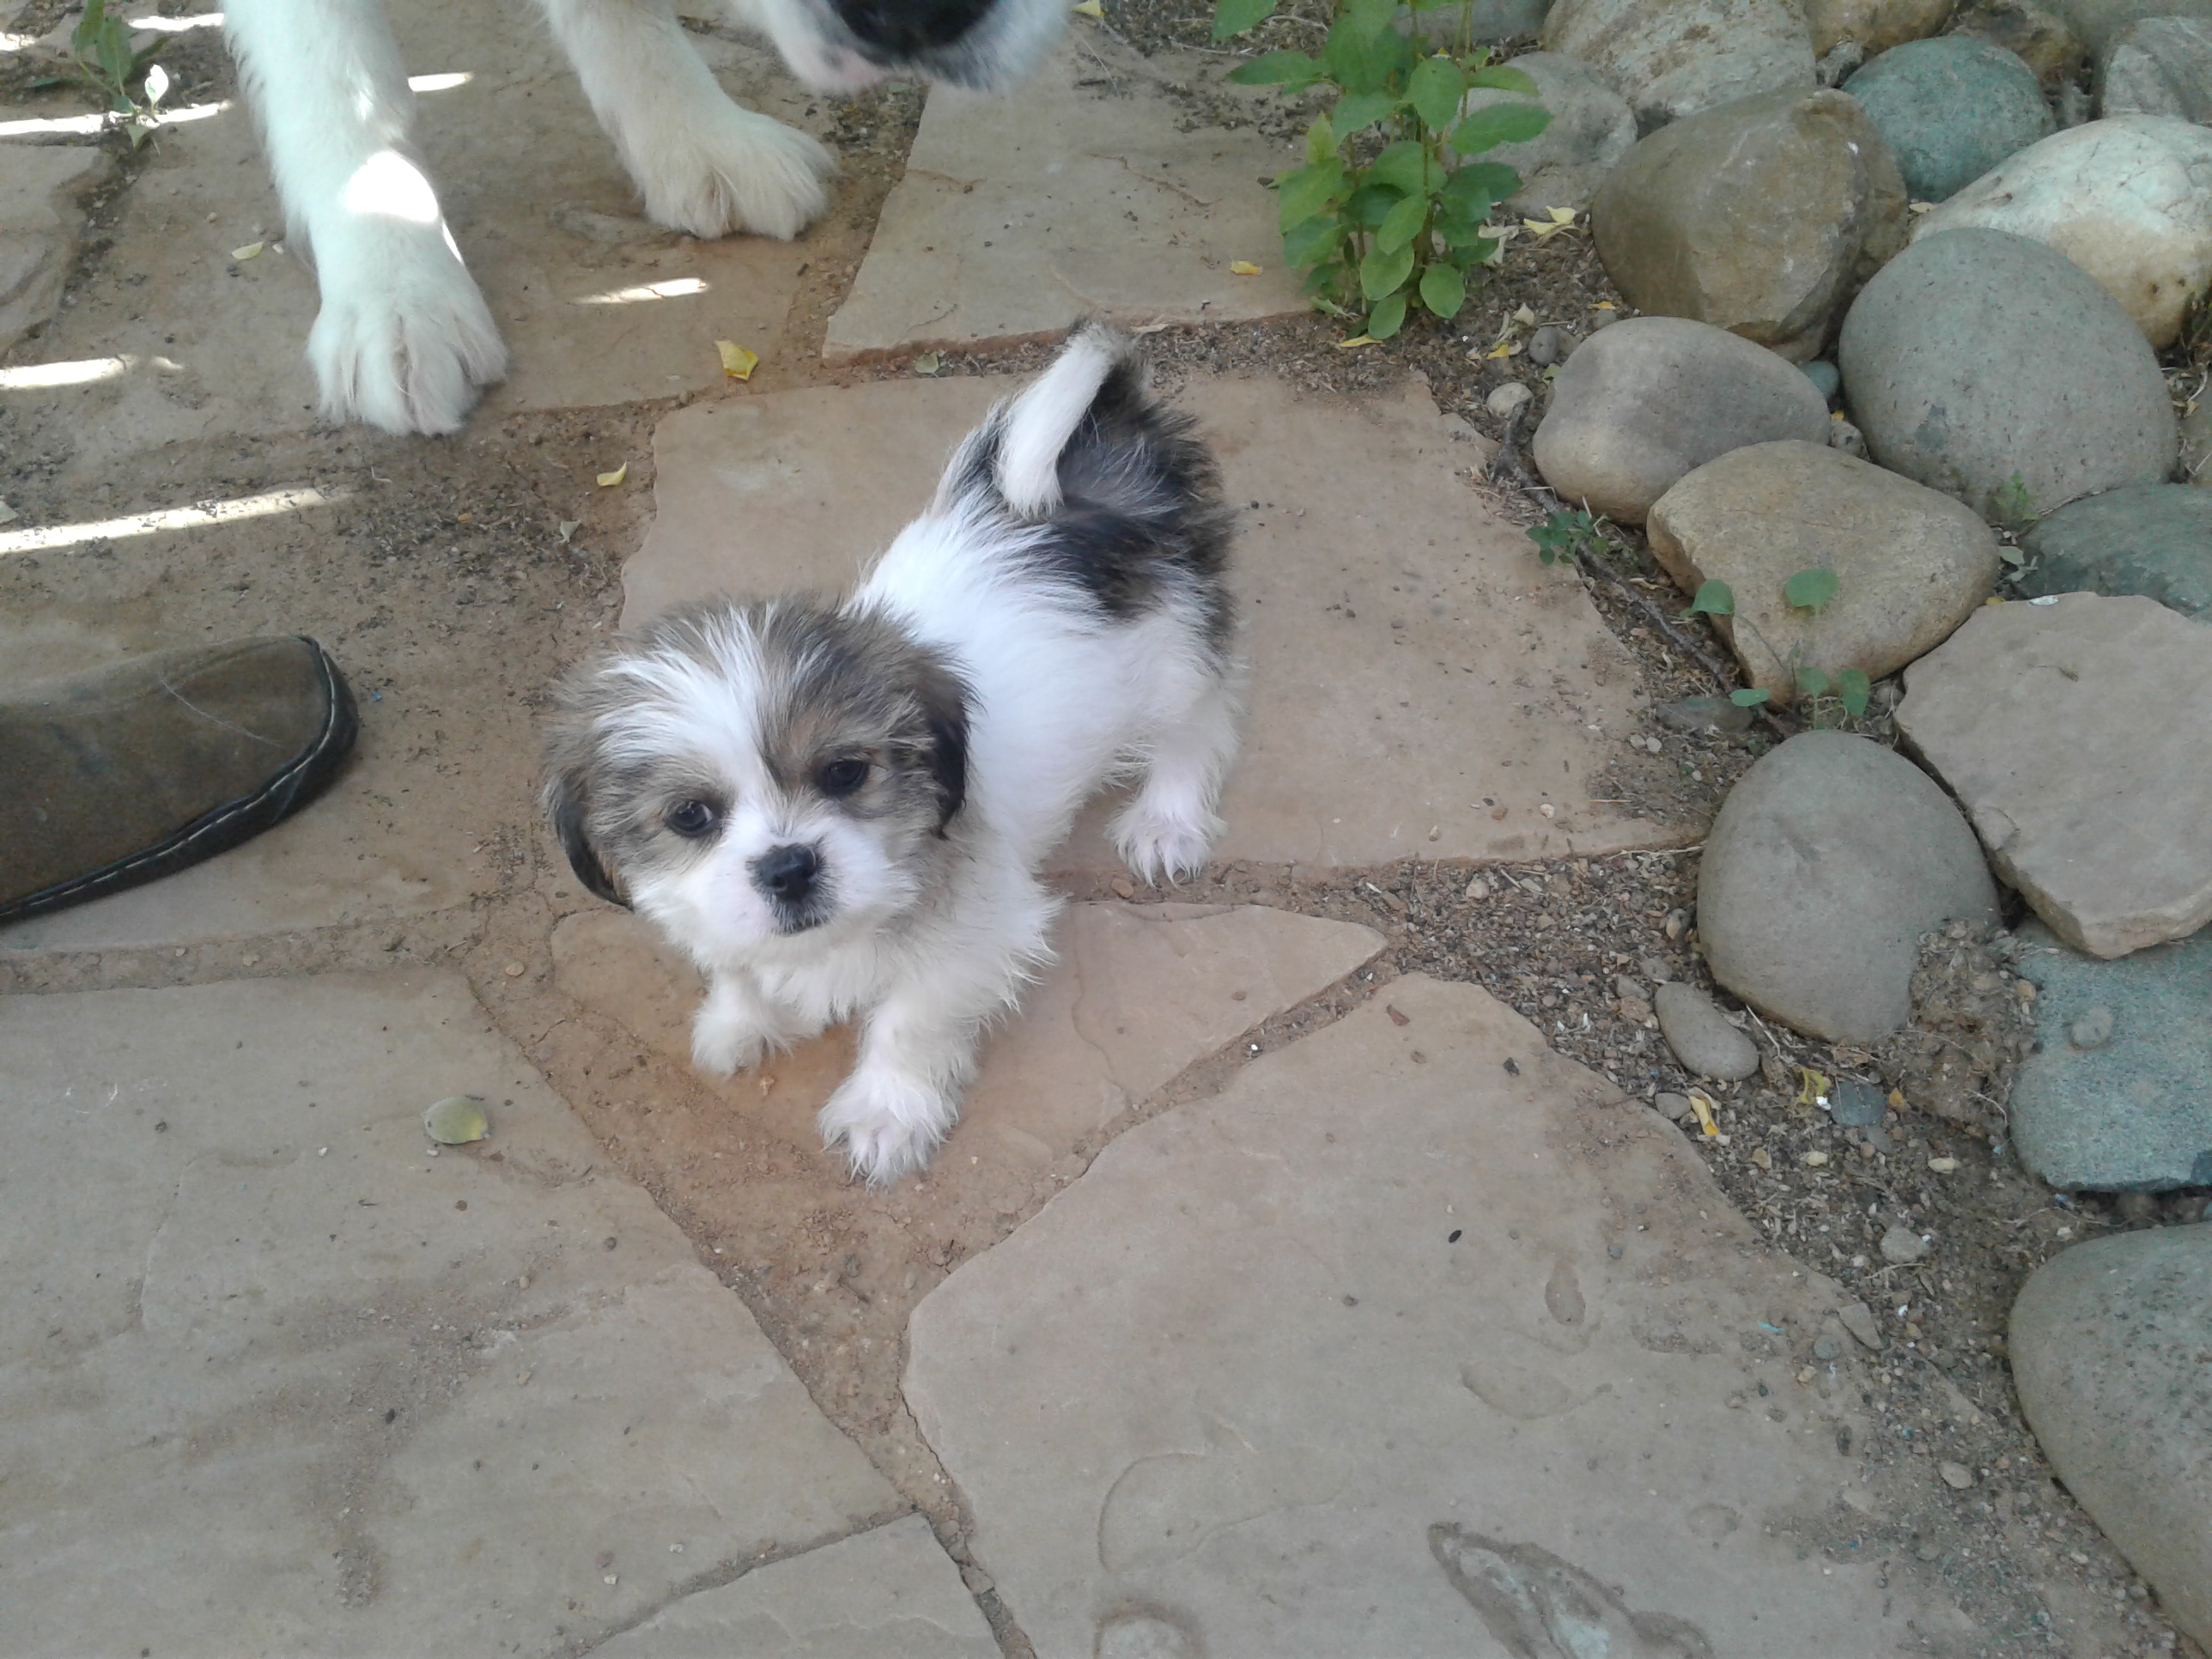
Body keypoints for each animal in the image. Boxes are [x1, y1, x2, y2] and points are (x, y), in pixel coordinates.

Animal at [544, 327, 1247, 1185]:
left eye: (845, 773)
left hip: (1172, 656)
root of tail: (1089, 469)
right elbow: (736, 965)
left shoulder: (975, 929)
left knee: (1200, 724)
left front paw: (887, 1112)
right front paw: (739, 1021)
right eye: (690, 816)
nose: (788, 868)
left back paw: (1166, 819)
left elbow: (911, 1018)